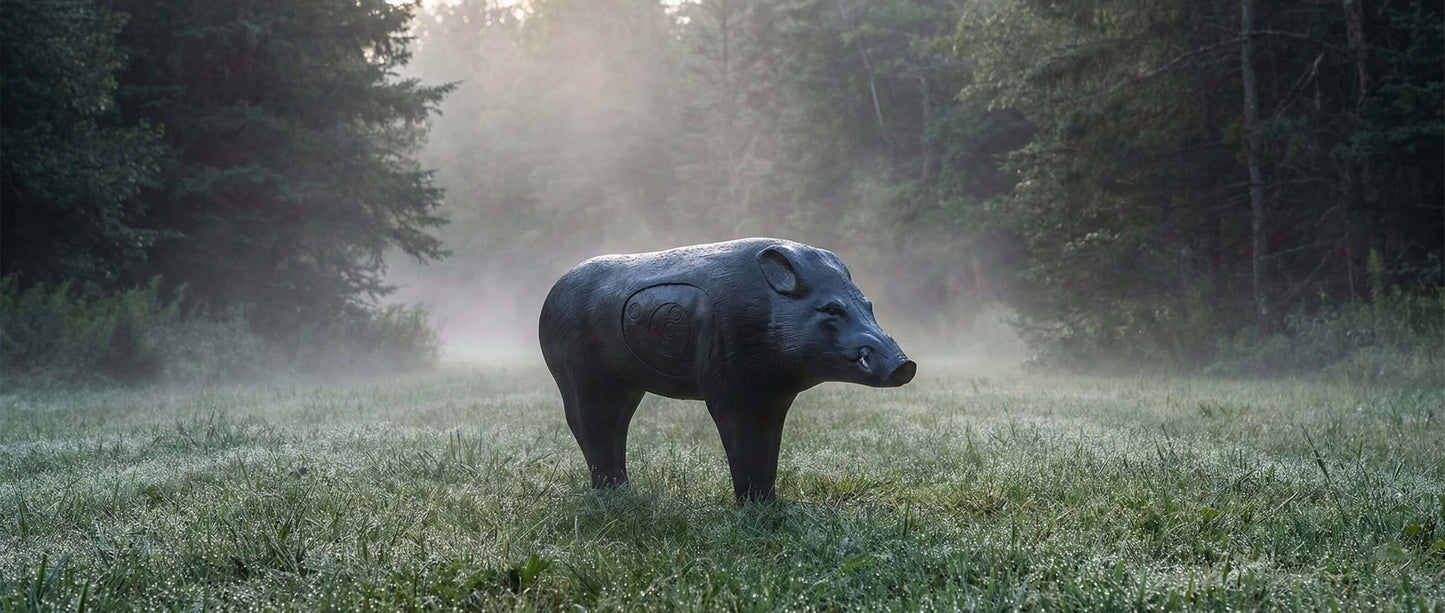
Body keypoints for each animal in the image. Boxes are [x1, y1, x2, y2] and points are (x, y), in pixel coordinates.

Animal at [539, 238, 916, 502]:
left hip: (626, 384)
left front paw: (768, 503)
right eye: (832, 309)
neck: (766, 315)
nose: (905, 365)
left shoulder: (773, 394)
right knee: (588, 424)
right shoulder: (730, 386)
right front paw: (753, 506)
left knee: (614, 424)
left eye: (868, 304)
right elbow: (740, 439)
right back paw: (613, 494)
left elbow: (768, 444)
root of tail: (551, 295)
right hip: (579, 374)